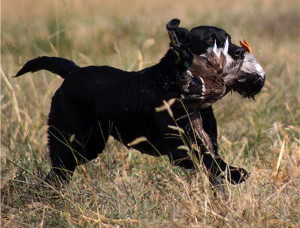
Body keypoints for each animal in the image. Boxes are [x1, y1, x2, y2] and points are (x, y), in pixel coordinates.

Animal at [14, 18, 262, 186]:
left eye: (229, 38)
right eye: (210, 39)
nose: (240, 52)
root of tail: (72, 72)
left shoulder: (207, 141)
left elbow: (213, 162)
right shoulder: (179, 150)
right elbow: (209, 161)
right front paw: (236, 173)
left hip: (89, 145)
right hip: (72, 142)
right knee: (56, 171)